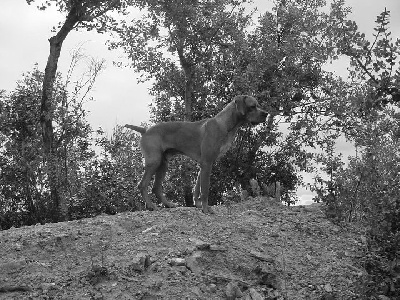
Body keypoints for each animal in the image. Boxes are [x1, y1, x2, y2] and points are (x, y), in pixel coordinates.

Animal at [126, 94, 268, 213]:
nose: (266, 114)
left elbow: (197, 188)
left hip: (163, 163)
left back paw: (169, 204)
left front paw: (199, 205)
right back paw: (152, 206)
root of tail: (145, 130)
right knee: (143, 185)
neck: (225, 126)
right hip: (154, 161)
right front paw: (206, 209)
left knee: (156, 188)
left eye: (258, 105)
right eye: (252, 106)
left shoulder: (204, 165)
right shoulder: (207, 163)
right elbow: (205, 189)